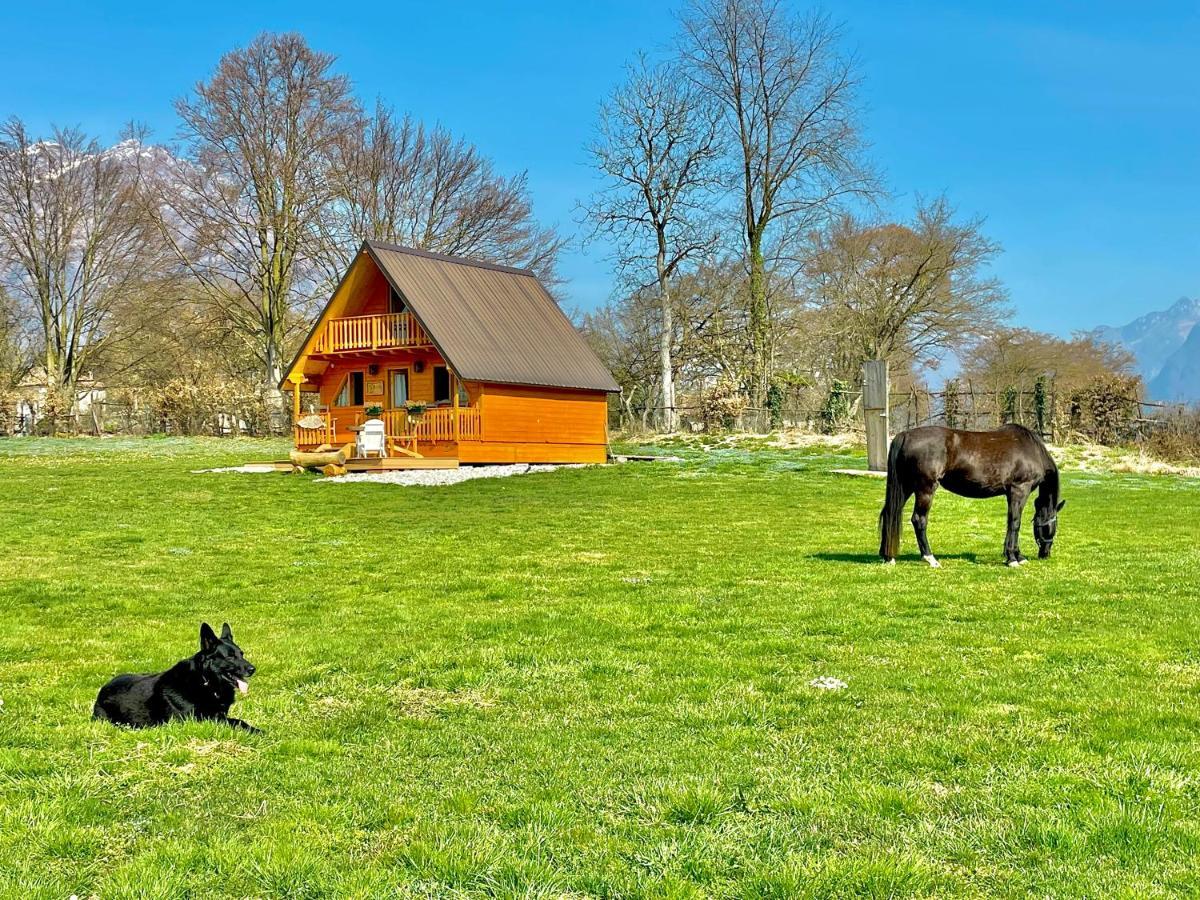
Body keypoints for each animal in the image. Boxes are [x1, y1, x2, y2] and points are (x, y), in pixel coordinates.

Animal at [93, 624, 260, 734]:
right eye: (230, 657)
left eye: (241, 654)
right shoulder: (201, 720)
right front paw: (257, 730)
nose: (253, 669)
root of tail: (102, 690)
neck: (205, 681)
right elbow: (236, 721)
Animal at [878, 424, 1065, 566]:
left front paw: (1016, 556)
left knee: (889, 513)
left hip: (906, 487)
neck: (1032, 451)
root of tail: (905, 435)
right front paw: (1013, 558)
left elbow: (1010, 522)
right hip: (925, 489)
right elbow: (1015, 523)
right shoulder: (1019, 490)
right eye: (1053, 528)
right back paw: (930, 558)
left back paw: (888, 556)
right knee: (919, 519)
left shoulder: (1010, 494)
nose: (1045, 554)